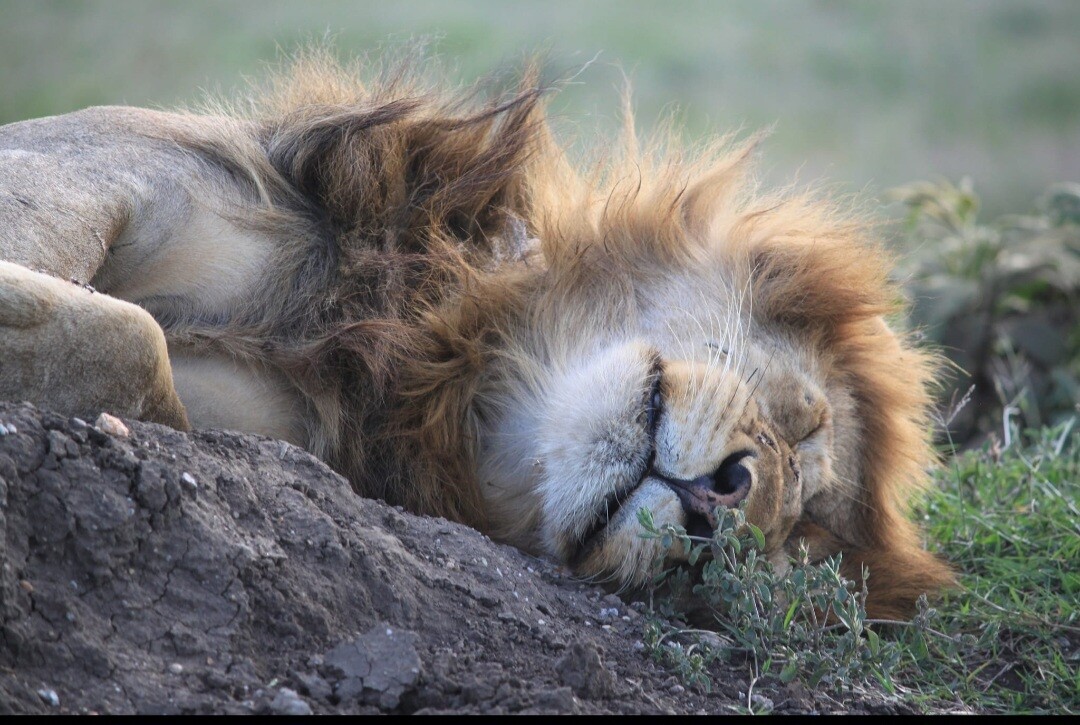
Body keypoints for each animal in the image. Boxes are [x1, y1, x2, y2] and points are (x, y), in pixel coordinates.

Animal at [0, 52, 953, 619]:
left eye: (788, 546)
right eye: (803, 420)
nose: (720, 510)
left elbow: (137, 352)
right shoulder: (95, 168)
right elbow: (129, 331)